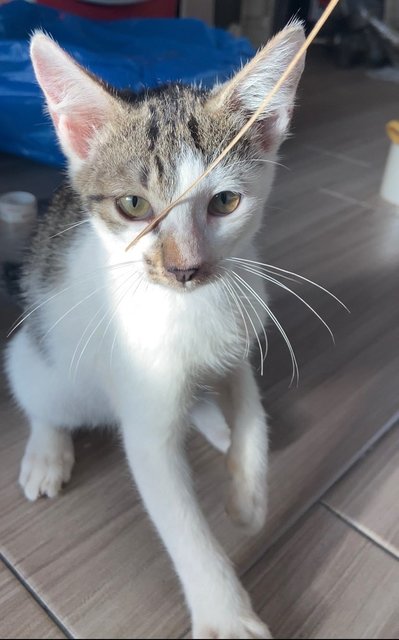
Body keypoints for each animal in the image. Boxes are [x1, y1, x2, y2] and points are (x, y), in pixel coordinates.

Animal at [4, 22, 306, 636]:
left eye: (226, 201)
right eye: (133, 205)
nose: (184, 268)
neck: (188, 308)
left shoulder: (238, 329)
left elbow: (250, 403)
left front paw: (249, 496)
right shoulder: (145, 417)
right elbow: (179, 517)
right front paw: (226, 613)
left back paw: (216, 424)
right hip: (36, 355)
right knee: (43, 401)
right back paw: (48, 451)